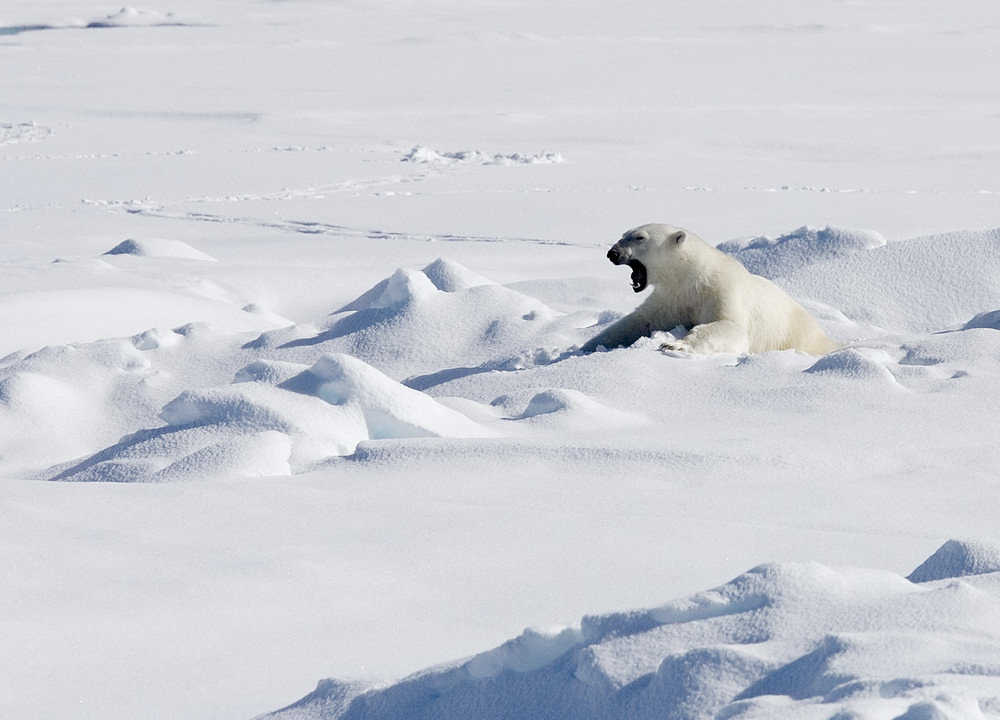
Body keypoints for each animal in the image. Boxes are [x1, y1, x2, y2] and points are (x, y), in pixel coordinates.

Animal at [580, 221, 836, 352]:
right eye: (623, 233)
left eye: (639, 237)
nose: (612, 253)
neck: (691, 278)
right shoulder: (671, 299)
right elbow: (639, 321)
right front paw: (587, 345)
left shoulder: (722, 292)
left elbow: (729, 326)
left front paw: (673, 344)